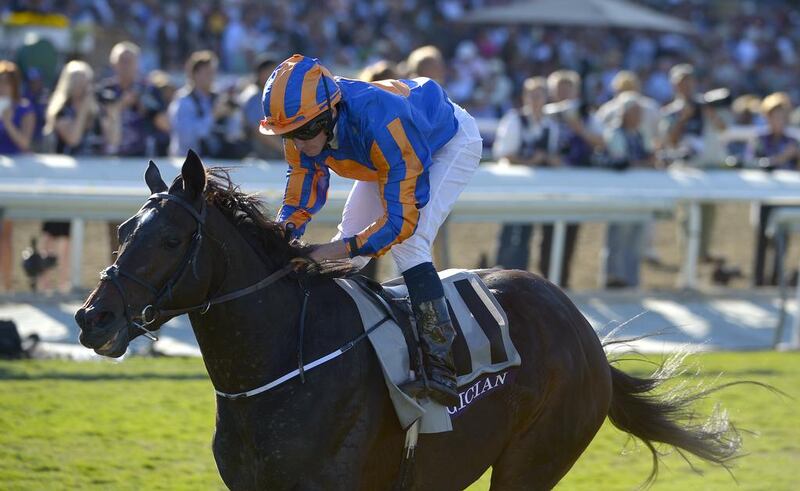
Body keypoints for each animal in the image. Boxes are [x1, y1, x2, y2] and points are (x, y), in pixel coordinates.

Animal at [73, 151, 736, 491]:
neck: (283, 366)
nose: (91, 317)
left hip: (534, 459)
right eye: (125, 230)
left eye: (170, 239)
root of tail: (580, 327)